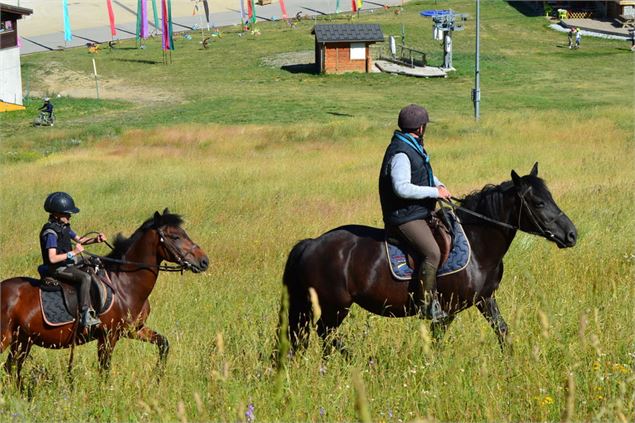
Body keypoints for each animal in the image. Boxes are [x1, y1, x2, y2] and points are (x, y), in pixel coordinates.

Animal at [0, 210, 209, 386]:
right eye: (175, 236)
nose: (204, 261)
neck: (124, 284)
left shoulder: (134, 330)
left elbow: (163, 343)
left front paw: (157, 378)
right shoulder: (108, 336)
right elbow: (104, 369)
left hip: (22, 341)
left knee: (11, 370)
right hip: (8, 339)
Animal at [280, 164, 580, 356]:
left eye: (550, 197)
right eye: (538, 203)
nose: (572, 234)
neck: (477, 245)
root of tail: (311, 244)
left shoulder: (485, 299)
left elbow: (503, 331)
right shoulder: (448, 309)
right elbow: (437, 343)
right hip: (334, 306)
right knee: (325, 335)